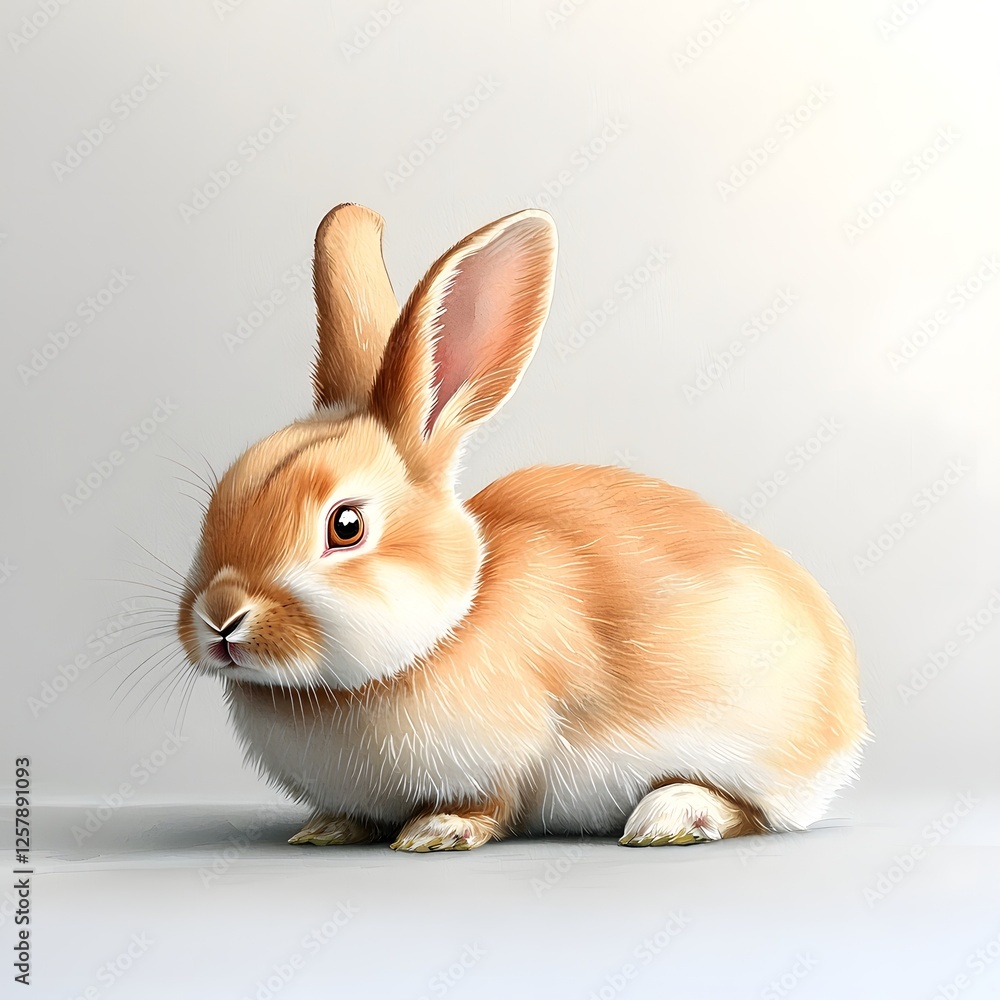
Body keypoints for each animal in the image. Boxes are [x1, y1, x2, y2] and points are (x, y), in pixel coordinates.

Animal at [177, 203, 868, 851]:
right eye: (218, 501)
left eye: (345, 526)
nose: (220, 618)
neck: (444, 627)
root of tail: (847, 724)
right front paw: (327, 828)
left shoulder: (508, 753)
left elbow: (492, 803)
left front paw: (437, 831)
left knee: (754, 813)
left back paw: (669, 816)